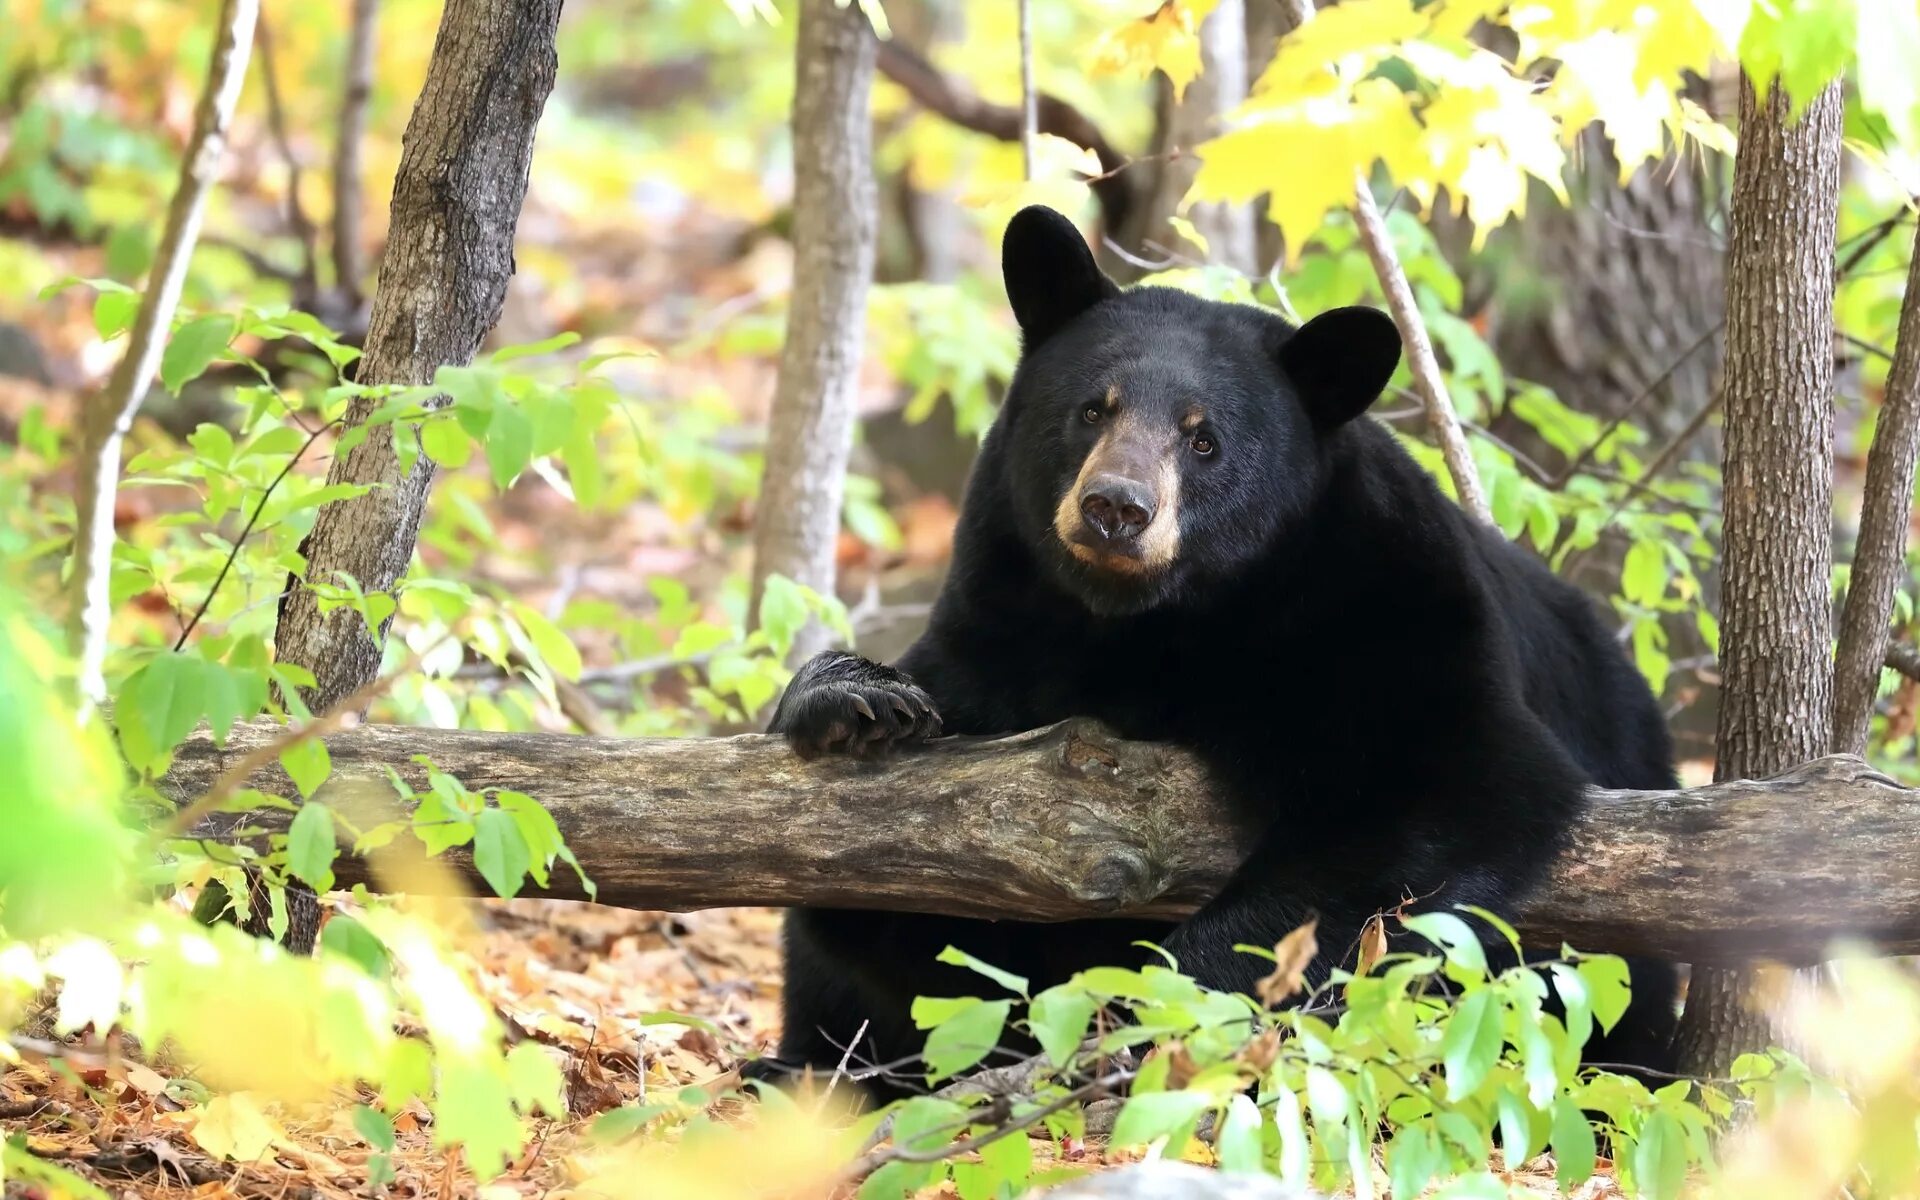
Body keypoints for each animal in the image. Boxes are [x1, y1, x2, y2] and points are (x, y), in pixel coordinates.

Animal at [752, 208, 1681, 1098]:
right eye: (1093, 408)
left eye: (1204, 439)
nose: (1116, 507)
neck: (1149, 626)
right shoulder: (1002, 627)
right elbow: (916, 913)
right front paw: (856, 700)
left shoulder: (1389, 610)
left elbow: (1446, 784)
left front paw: (1154, 1009)